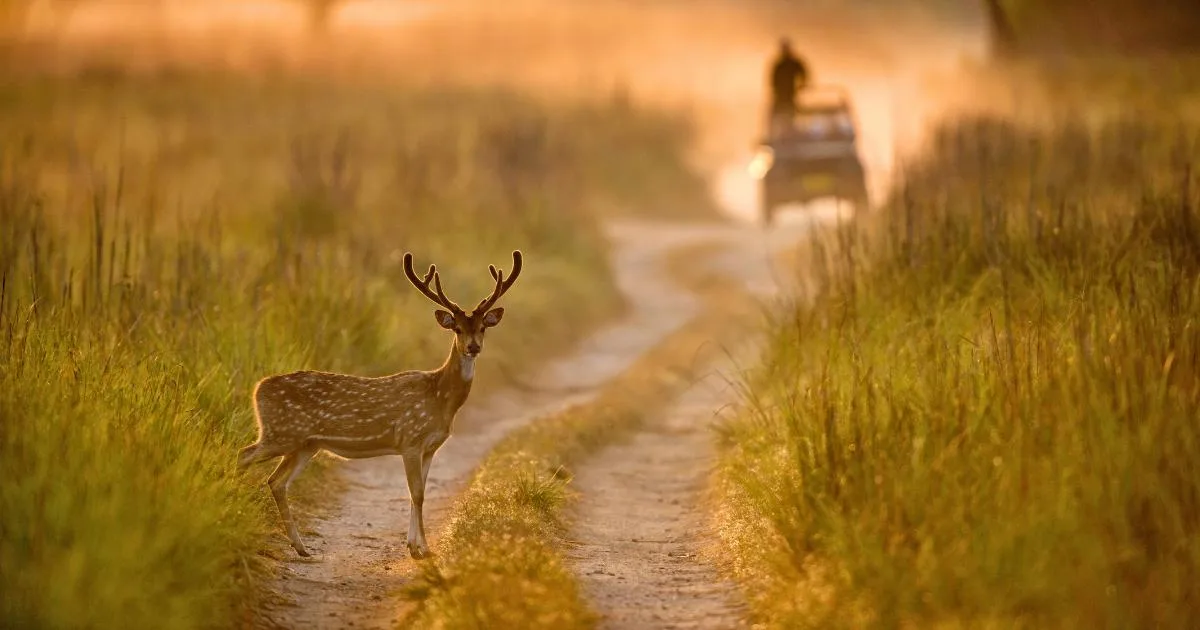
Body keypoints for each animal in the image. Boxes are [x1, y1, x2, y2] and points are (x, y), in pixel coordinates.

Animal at [237, 250, 523, 559]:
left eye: (482, 328)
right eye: (457, 329)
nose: (473, 347)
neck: (440, 398)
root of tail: (258, 388)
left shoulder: (430, 447)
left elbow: (419, 493)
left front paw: (416, 545)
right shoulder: (410, 439)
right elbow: (417, 493)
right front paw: (422, 549)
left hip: (305, 444)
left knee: (277, 481)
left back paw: (301, 547)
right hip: (281, 432)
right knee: (244, 455)